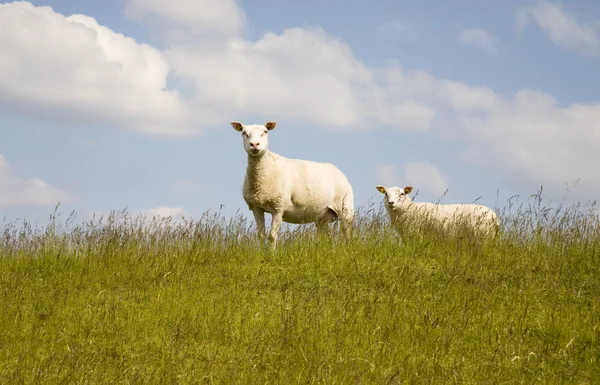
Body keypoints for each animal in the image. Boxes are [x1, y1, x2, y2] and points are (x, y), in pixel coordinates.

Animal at [229, 121, 352, 249]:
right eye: (244, 132)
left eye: (265, 132)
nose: (254, 144)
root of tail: (339, 172)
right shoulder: (256, 207)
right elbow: (261, 235)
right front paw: (262, 253)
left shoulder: (278, 207)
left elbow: (272, 237)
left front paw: (271, 253)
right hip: (321, 216)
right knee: (323, 237)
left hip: (346, 208)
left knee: (347, 233)